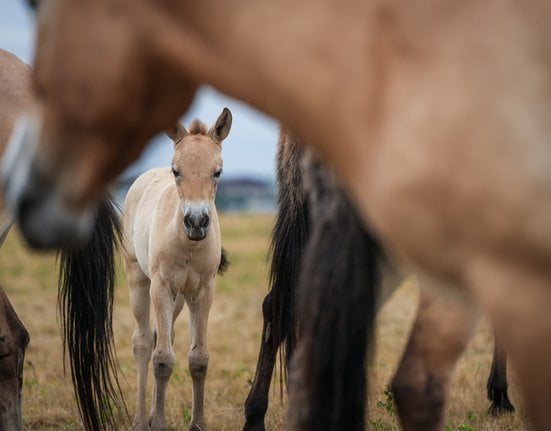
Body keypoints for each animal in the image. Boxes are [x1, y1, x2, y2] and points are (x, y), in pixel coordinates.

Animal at [123, 109, 231, 431]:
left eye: (218, 172)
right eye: (176, 171)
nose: (196, 222)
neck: (188, 246)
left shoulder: (203, 291)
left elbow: (198, 359)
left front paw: (198, 424)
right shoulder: (161, 287)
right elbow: (161, 359)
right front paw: (158, 423)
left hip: (180, 299)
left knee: (162, 335)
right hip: (138, 278)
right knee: (143, 342)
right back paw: (139, 420)